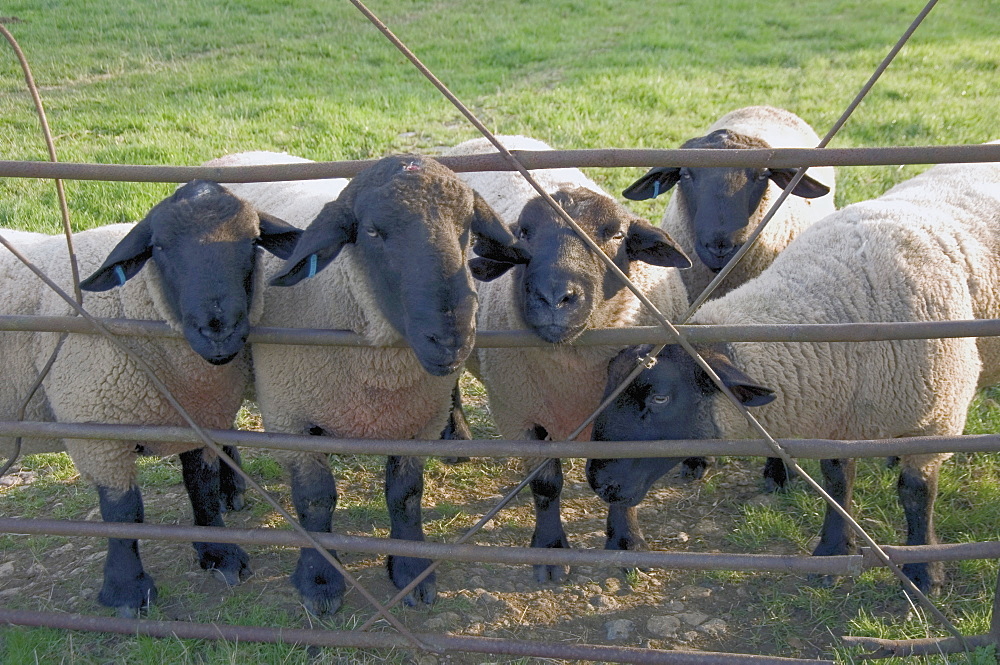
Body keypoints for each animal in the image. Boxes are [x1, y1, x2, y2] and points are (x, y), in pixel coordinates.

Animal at [0, 179, 304, 616]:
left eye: (252, 240)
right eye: (159, 247)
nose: (218, 330)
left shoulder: (199, 417)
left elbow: (201, 486)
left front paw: (220, 555)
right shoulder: (97, 432)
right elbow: (124, 512)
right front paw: (127, 590)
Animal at [207, 149, 520, 612]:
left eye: (466, 227)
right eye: (373, 231)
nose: (450, 337)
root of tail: (239, 154)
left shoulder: (416, 420)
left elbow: (406, 494)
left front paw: (410, 570)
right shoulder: (289, 418)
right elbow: (315, 498)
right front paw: (320, 581)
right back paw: (230, 490)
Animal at [442, 135, 692, 580]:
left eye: (616, 235)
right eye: (523, 233)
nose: (555, 296)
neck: (572, 370)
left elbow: (624, 480)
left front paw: (627, 543)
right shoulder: (520, 414)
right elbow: (545, 485)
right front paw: (550, 551)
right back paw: (456, 436)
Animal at [584, 158, 1000, 592]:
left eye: (660, 397)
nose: (599, 482)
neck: (842, 310)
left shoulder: (939, 419)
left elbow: (916, 493)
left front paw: (924, 571)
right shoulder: (839, 420)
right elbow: (838, 484)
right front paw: (833, 553)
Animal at [624, 105, 836, 488]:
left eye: (761, 175)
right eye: (686, 175)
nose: (721, 244)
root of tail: (766, 107)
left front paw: (777, 471)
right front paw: (695, 459)